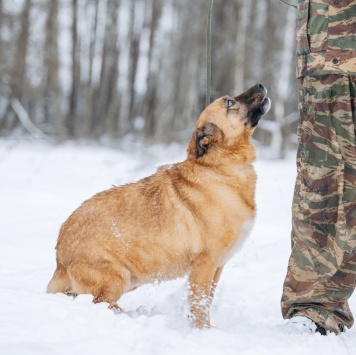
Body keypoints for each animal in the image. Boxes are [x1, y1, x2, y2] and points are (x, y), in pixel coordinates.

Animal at [46, 83, 270, 328]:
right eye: (230, 102)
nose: (260, 85)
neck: (219, 168)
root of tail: (59, 257)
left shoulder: (217, 268)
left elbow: (206, 302)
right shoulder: (204, 266)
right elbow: (200, 306)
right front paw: (203, 332)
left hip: (130, 278)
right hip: (117, 277)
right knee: (100, 303)